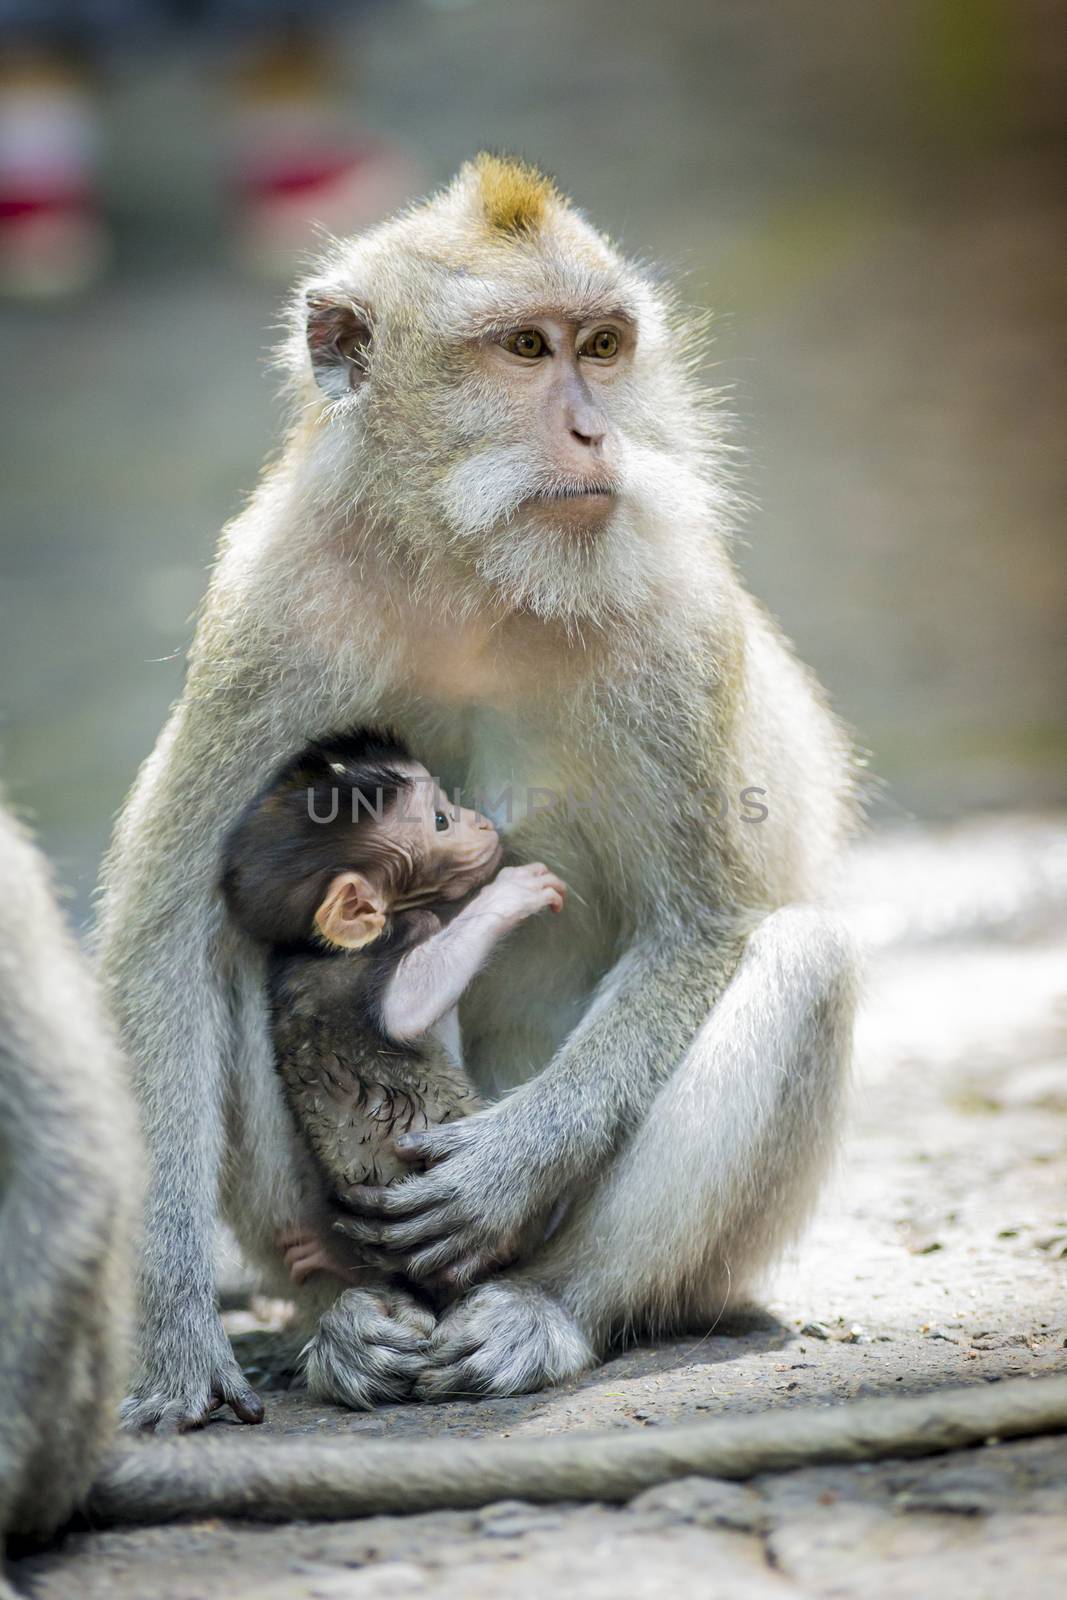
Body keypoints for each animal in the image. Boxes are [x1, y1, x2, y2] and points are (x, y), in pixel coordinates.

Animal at [217, 729, 566, 1299]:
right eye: (441, 820)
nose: (481, 822)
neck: (318, 950)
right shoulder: (383, 949)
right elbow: (407, 1008)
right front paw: (513, 893)